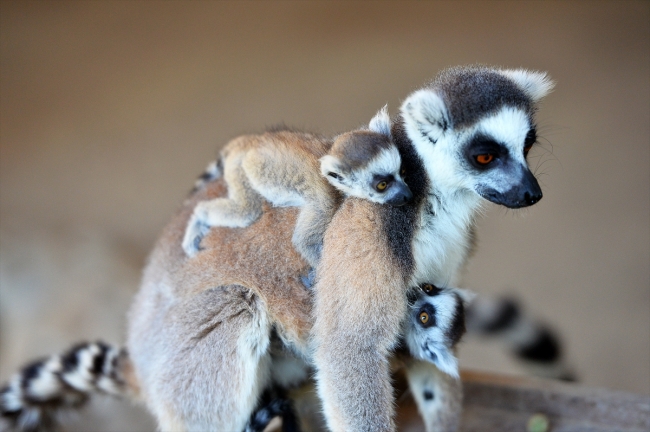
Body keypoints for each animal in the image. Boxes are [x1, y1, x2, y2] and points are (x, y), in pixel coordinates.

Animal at [182, 106, 412, 270]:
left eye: (402, 172)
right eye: (382, 185)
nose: (407, 195)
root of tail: (250, 141)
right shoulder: (325, 201)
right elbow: (304, 243)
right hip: (239, 167)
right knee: (246, 210)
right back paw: (198, 218)